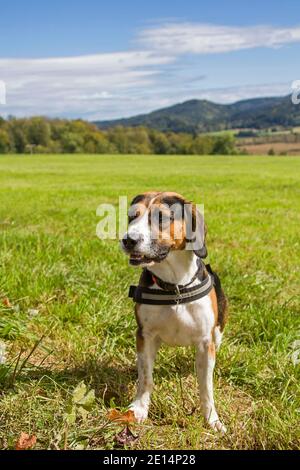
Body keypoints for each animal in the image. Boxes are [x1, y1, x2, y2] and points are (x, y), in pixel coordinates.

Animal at [121, 191, 227, 434]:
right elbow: (146, 378)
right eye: (132, 216)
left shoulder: (205, 342)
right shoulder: (145, 336)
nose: (128, 240)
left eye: (161, 217)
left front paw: (212, 420)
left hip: (217, 334)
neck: (174, 285)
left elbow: (206, 387)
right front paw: (139, 409)